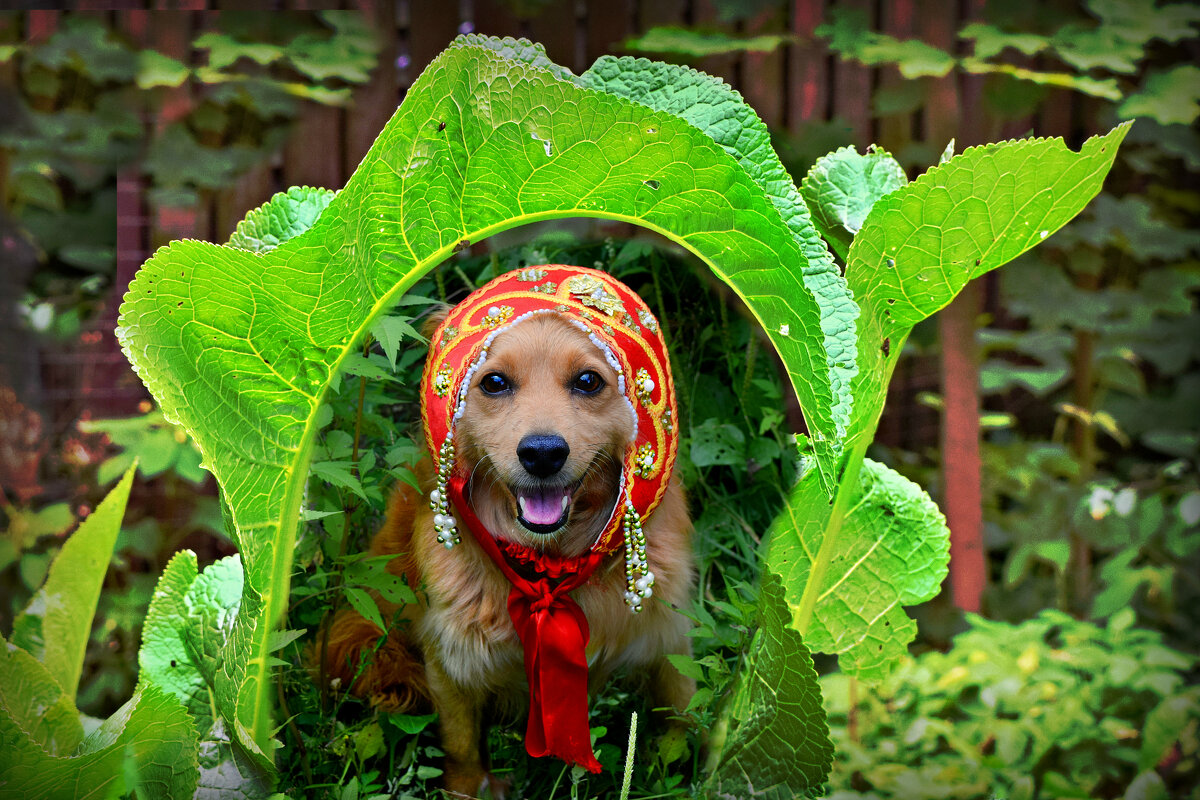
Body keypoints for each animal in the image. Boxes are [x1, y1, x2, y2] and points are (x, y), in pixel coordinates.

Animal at [321, 271, 696, 800]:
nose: (542, 453)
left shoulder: (669, 636)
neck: (550, 568)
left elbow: (682, 717)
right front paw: (469, 788)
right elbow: (461, 746)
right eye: (494, 382)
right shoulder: (450, 661)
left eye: (588, 381)